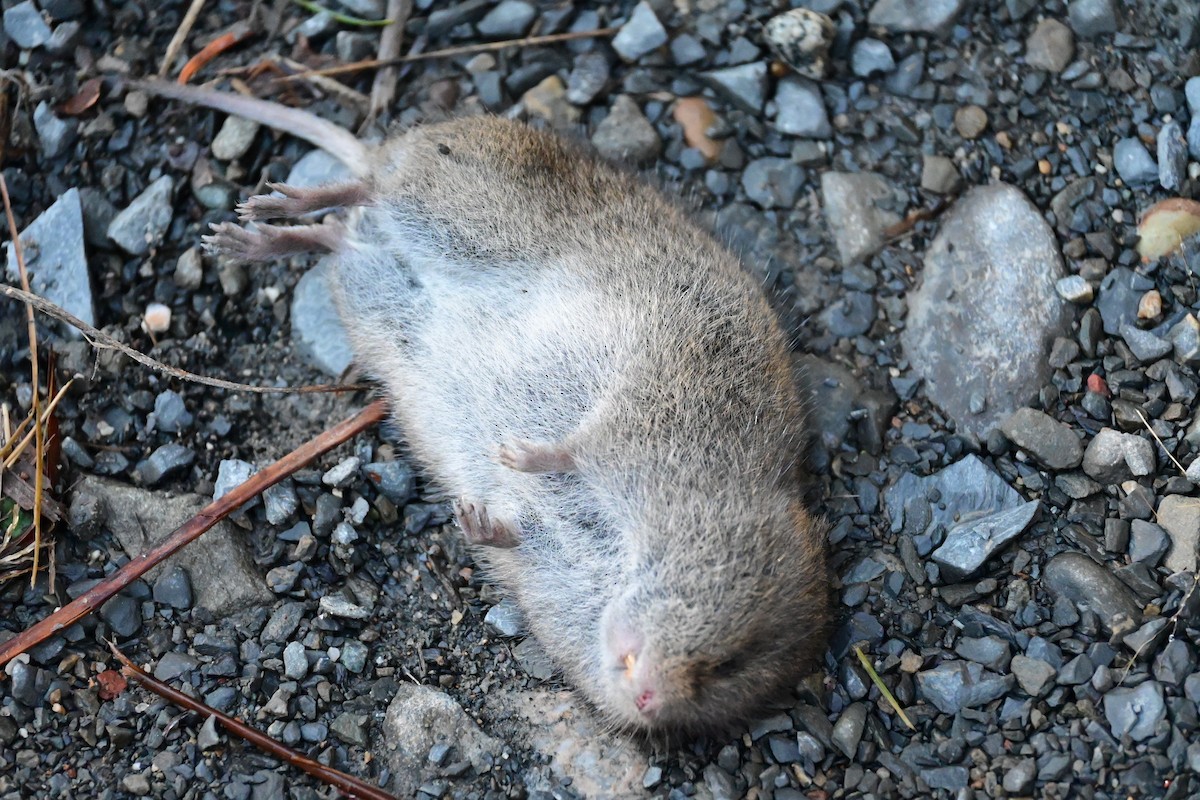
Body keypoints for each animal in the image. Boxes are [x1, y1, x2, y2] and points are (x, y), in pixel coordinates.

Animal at [134, 78, 830, 736]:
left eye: (730, 671)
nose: (649, 702)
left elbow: (518, 532)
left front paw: (478, 519)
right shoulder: (637, 426)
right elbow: (569, 451)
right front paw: (518, 456)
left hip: (377, 272)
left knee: (340, 237)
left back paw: (267, 237)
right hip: (455, 214)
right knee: (365, 188)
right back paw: (266, 211)